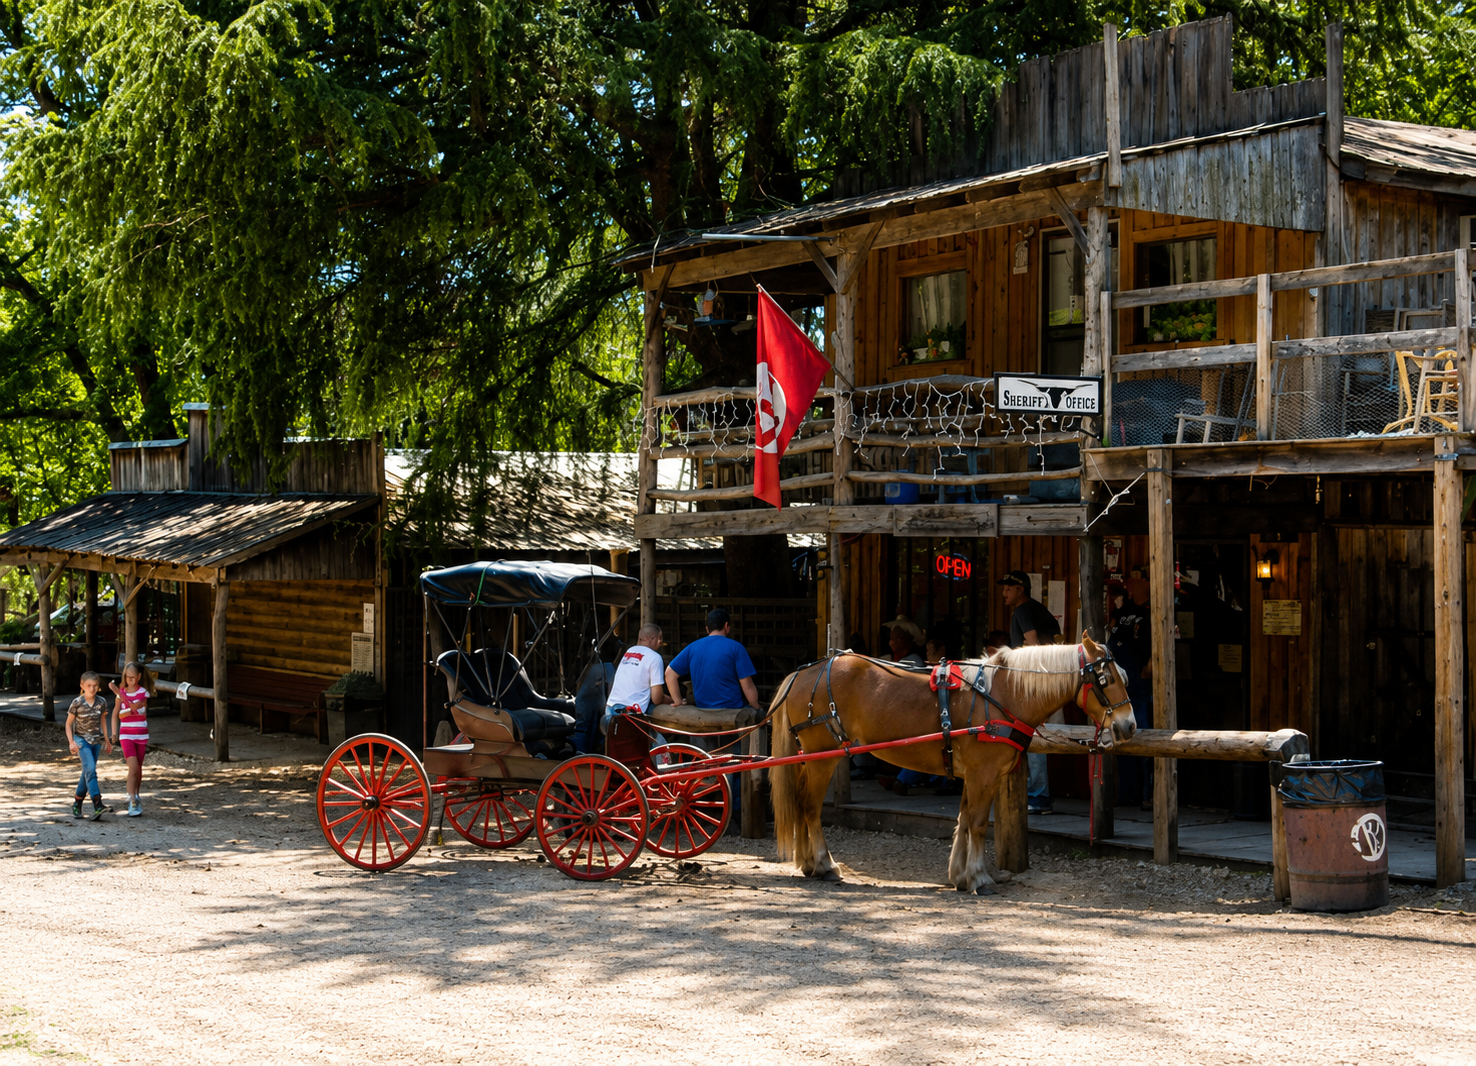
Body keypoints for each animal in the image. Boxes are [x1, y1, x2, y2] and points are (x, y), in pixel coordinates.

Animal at [769, 635, 1135, 894]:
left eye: (1124, 677)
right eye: (1105, 679)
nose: (1129, 726)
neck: (1002, 695)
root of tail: (805, 672)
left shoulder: (972, 775)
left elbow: (964, 821)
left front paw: (960, 875)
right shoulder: (983, 774)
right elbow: (978, 824)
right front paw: (979, 878)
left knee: (801, 802)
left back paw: (808, 863)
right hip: (824, 756)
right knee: (810, 807)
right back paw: (824, 864)